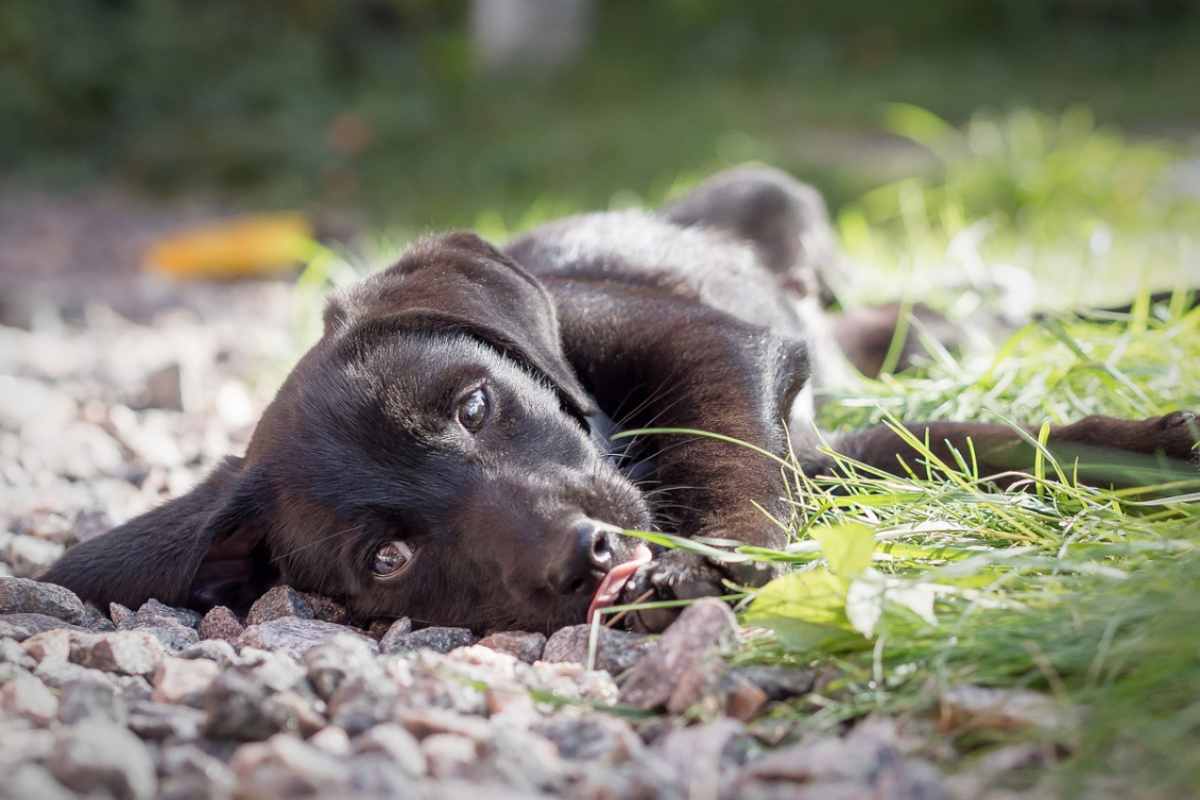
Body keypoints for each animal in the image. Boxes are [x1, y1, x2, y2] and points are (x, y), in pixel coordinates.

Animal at [42, 165, 1195, 633]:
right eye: (388, 558)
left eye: (475, 407)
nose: (590, 557)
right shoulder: (829, 451)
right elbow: (972, 444)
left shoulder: (718, 348)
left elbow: (725, 450)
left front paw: (725, 557)